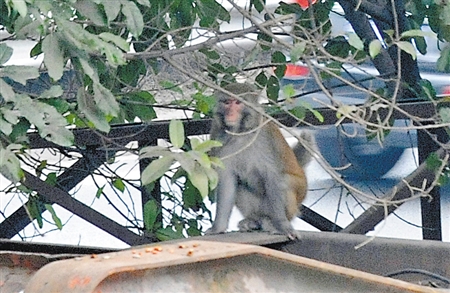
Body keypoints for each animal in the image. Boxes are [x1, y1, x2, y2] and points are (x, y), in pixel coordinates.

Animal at [207, 82, 312, 240]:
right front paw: (217, 228)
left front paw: (283, 227)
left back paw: (272, 222)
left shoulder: (266, 138)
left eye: (238, 103)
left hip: (297, 198)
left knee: (283, 181)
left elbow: (273, 177)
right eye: (227, 102)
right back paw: (254, 221)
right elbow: (227, 180)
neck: (241, 132)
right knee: (240, 184)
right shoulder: (217, 136)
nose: (230, 113)